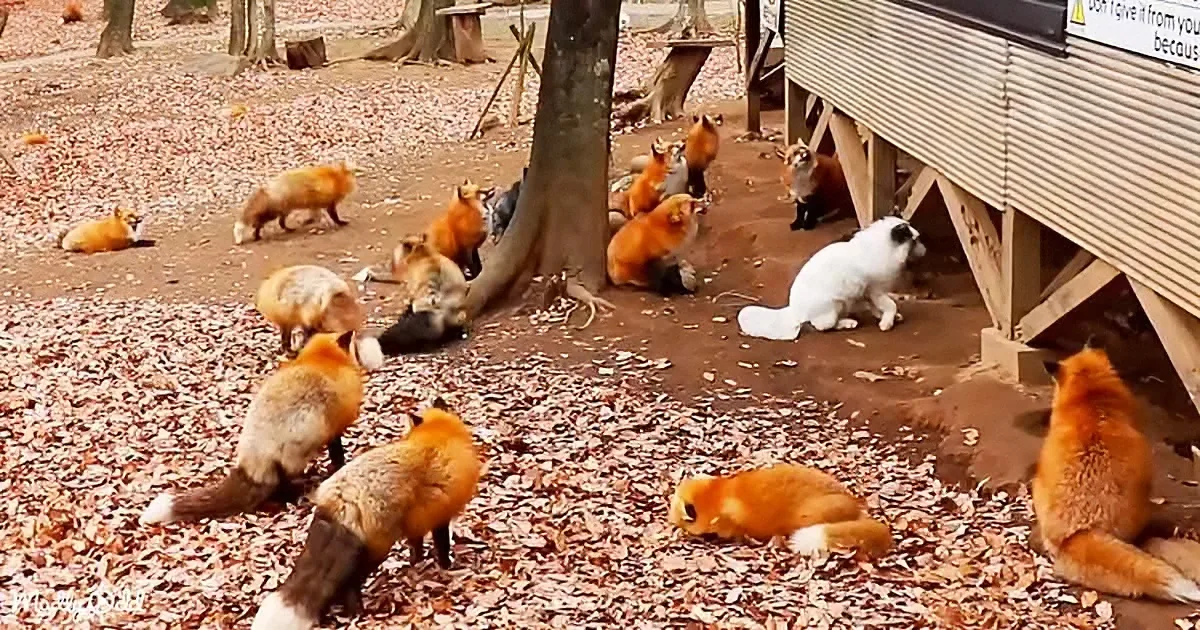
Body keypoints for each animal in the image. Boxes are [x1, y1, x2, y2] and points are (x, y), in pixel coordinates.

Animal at [139, 331, 383, 527]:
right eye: (354, 345)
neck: (324, 360)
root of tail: (250, 463)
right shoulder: (335, 428)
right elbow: (338, 456)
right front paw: (341, 466)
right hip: (301, 444)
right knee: (284, 483)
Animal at [250, 399, 482, 630]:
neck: (442, 438)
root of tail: (342, 494)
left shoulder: (417, 520)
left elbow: (416, 548)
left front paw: (416, 564)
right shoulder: (441, 516)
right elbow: (442, 547)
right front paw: (446, 567)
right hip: (377, 549)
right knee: (350, 584)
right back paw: (357, 612)